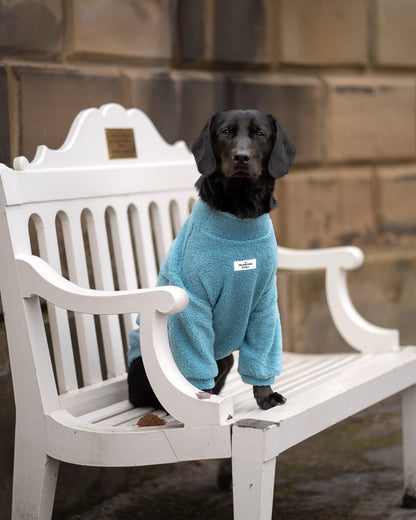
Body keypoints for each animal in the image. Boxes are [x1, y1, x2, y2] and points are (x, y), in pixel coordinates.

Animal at [128, 108, 298, 410]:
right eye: (226, 132)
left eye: (259, 133)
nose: (241, 157)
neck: (240, 216)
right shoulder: (193, 303)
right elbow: (197, 366)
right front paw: (203, 405)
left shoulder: (265, 302)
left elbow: (261, 356)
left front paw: (266, 396)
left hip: (226, 358)